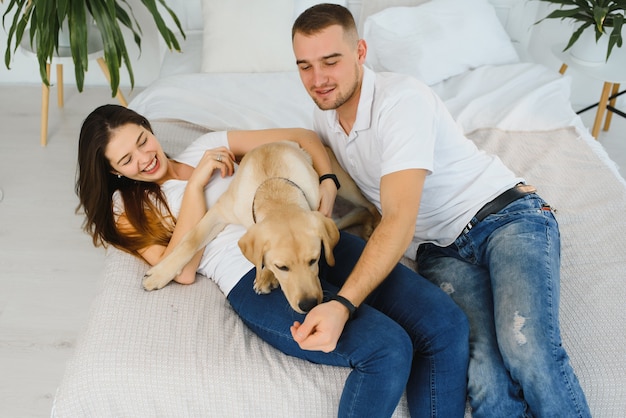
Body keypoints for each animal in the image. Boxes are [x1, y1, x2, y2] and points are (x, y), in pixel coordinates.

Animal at [141, 140, 378, 314]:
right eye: (283, 267)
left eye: (314, 260)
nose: (309, 305)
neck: (274, 189)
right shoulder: (219, 211)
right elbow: (190, 240)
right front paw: (160, 274)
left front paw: (265, 277)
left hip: (346, 187)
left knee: (372, 207)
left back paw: (371, 227)